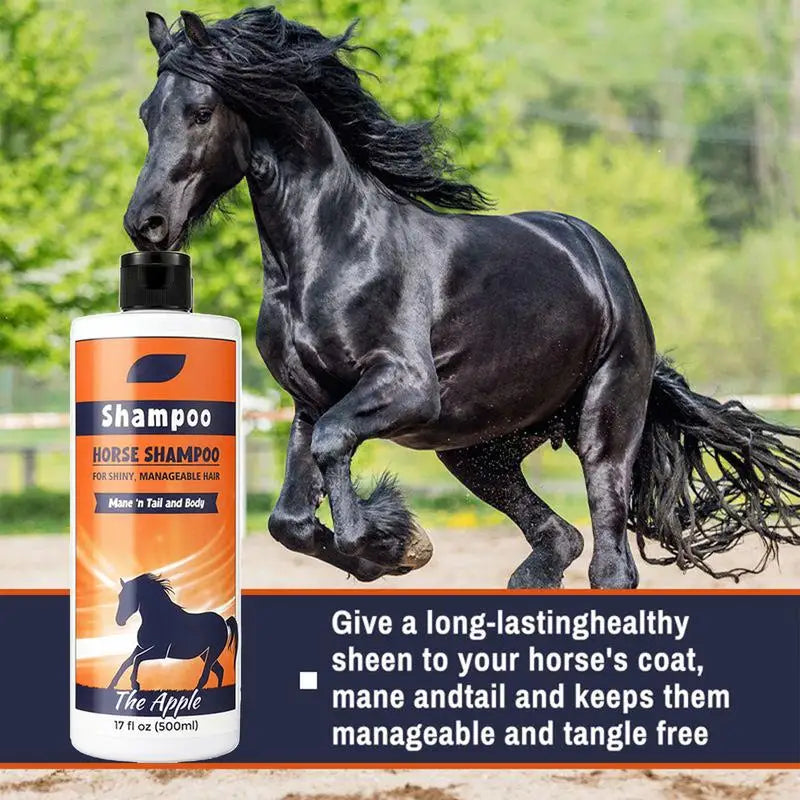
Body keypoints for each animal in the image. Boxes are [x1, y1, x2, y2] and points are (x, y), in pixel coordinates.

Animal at [108, 574, 238, 691]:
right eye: (120, 596)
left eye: (132, 595)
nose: (119, 621)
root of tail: (224, 621)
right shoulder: (141, 647)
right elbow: (126, 662)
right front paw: (111, 686)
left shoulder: (161, 651)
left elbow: (137, 659)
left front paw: (135, 684)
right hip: (205, 654)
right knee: (219, 671)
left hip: (213, 652)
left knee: (205, 676)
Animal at [125, 8, 800, 588]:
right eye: (146, 114)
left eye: (201, 112)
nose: (146, 225)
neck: (329, 249)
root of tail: (603, 262)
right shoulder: (309, 402)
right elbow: (289, 519)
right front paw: (393, 546)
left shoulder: (403, 387)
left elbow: (334, 453)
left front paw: (393, 543)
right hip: (477, 451)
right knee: (555, 540)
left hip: (602, 428)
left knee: (608, 561)